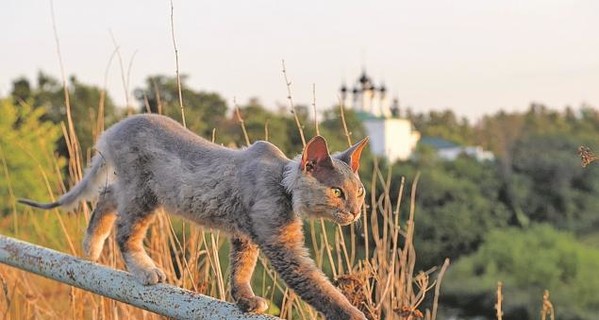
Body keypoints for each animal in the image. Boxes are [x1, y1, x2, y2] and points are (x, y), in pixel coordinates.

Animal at [18, 114, 370, 318]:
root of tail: (115, 128)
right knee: (125, 231)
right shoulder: (283, 247)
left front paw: (244, 299)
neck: (281, 182)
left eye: (360, 191)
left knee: (105, 197)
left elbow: (240, 270)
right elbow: (319, 287)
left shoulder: (244, 236)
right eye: (337, 192)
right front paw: (354, 314)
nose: (355, 211)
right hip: (143, 192)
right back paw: (144, 269)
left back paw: (91, 246)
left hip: (131, 188)